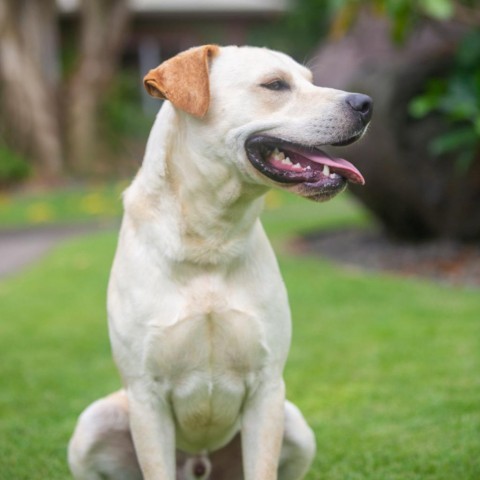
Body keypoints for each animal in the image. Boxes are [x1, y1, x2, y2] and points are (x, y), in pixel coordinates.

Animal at [67, 43, 372, 478]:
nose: (365, 103)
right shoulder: (146, 396)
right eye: (275, 84)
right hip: (92, 425)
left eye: (310, 81)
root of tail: (199, 462)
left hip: (296, 424)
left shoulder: (267, 388)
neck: (210, 238)